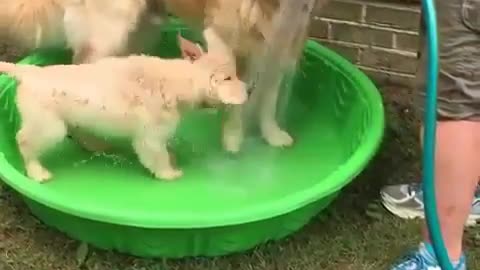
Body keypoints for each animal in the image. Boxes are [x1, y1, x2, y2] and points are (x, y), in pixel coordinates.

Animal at [0, 52, 248, 182]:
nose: (249, 88)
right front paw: (169, 173)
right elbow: (157, 155)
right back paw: (37, 172)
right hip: (48, 126)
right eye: (230, 78)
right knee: (25, 141)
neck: (180, 80)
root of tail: (29, 72)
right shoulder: (150, 136)